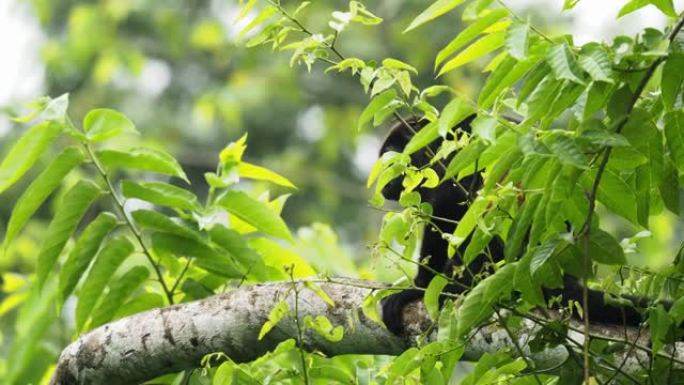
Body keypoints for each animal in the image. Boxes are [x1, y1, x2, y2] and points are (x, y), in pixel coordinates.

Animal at [380, 115, 656, 336]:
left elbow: (450, 203)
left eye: (390, 155)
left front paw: (419, 287)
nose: (382, 183)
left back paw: (456, 287)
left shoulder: (450, 160)